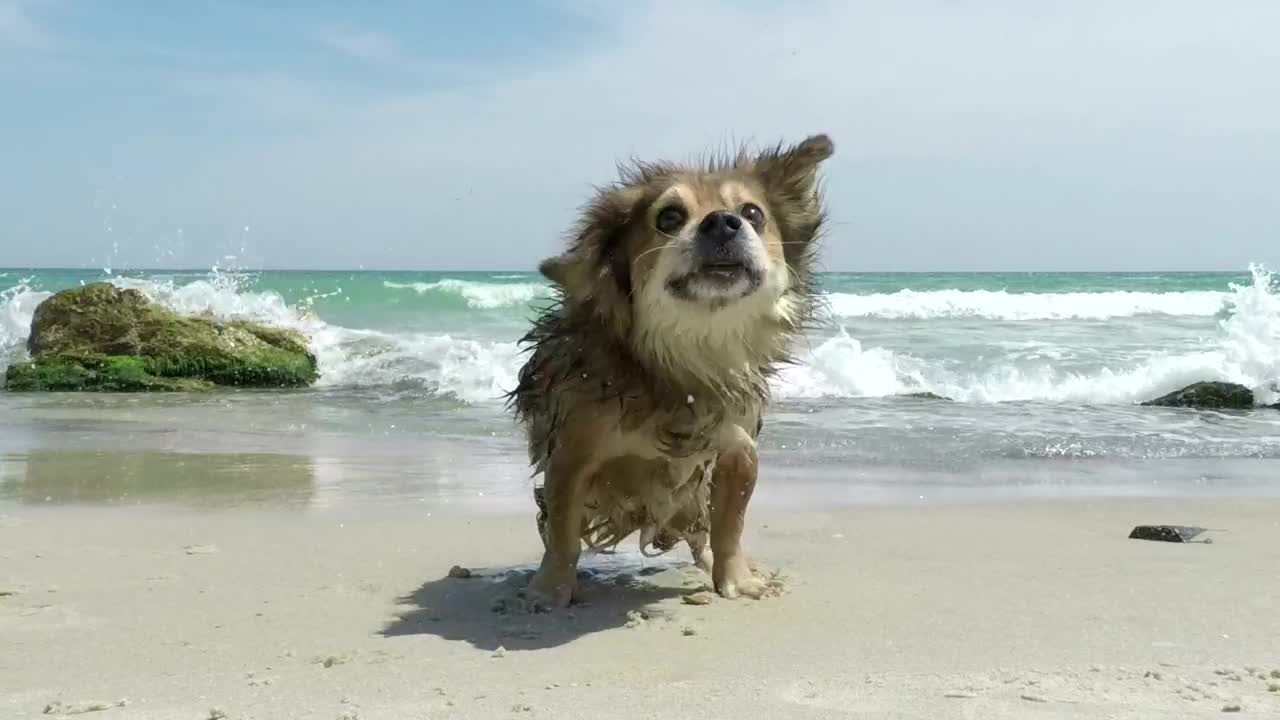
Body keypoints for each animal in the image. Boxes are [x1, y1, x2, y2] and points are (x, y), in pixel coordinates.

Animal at [504, 131, 834, 602]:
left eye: (753, 213)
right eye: (670, 217)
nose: (723, 222)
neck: (690, 361)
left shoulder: (738, 451)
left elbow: (730, 523)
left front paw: (736, 578)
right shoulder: (570, 455)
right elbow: (564, 531)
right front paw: (550, 590)